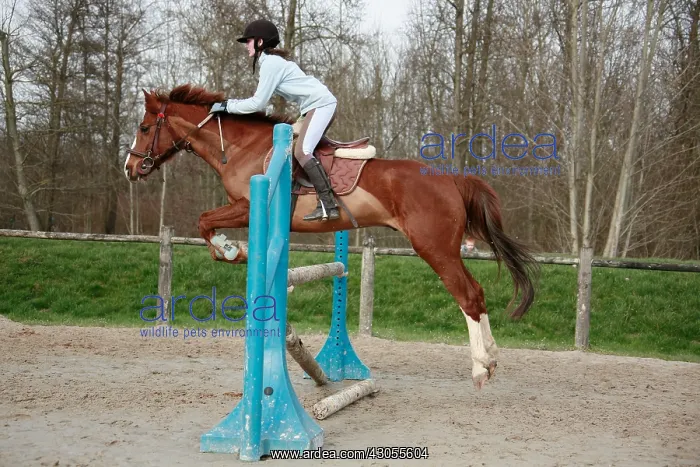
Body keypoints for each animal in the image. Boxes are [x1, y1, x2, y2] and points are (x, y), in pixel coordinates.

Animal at [123, 84, 538, 390]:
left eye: (143, 128)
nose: (130, 168)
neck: (239, 148)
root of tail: (451, 178)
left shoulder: (247, 205)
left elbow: (204, 221)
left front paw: (230, 249)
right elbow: (208, 224)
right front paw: (234, 252)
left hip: (434, 248)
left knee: (467, 295)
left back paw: (480, 368)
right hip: (443, 249)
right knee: (477, 293)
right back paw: (492, 359)